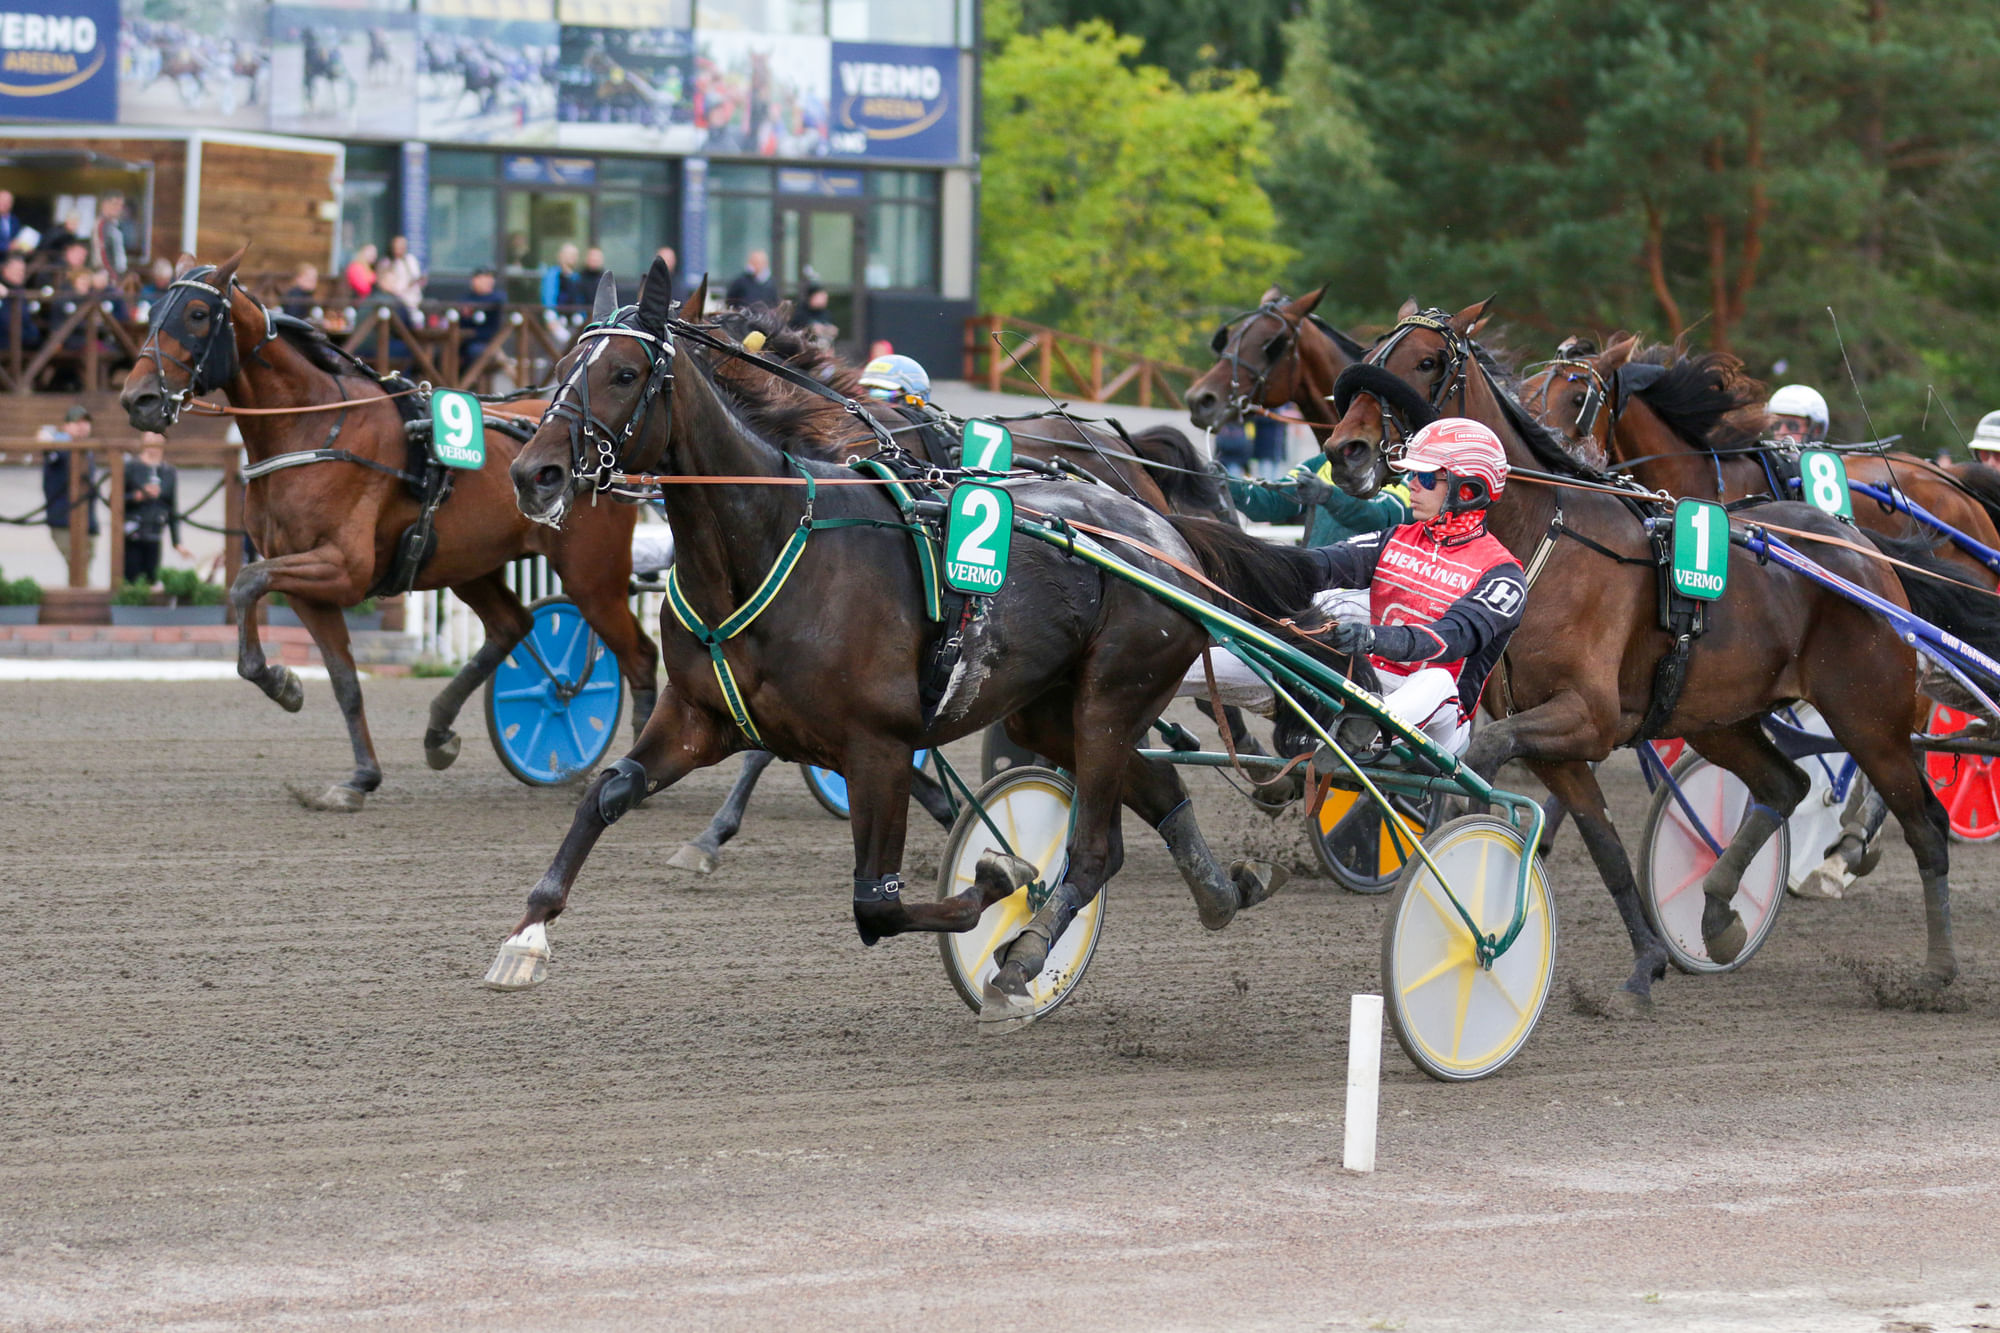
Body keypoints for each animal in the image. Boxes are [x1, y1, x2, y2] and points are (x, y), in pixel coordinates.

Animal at [121, 249, 660, 808]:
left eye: (197, 314)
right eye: (152, 309)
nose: (138, 399)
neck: (313, 428)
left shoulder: (342, 569)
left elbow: (247, 582)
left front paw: (284, 684)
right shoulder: (309, 586)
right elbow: (343, 681)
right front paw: (357, 773)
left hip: (591, 576)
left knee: (640, 657)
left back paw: (628, 772)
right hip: (469, 564)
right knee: (513, 626)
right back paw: (439, 731)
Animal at [492, 262, 1304, 1024]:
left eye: (625, 373)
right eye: (564, 366)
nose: (534, 472)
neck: (770, 537)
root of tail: (1163, 529)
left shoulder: (877, 744)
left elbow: (876, 904)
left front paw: (998, 876)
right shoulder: (698, 717)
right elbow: (607, 792)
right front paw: (527, 935)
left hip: (1112, 695)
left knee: (1092, 850)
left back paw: (1024, 956)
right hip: (1050, 709)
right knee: (1158, 793)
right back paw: (1223, 891)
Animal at [1312, 298, 2000, 1008]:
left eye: (1425, 361)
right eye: (1374, 350)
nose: (1345, 451)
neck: (1543, 536)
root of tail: (1867, 553)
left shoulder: (1585, 717)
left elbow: (1483, 756)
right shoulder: (1557, 740)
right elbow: (1607, 849)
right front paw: (1647, 964)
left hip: (1868, 715)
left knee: (1924, 822)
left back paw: (1931, 966)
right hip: (1719, 717)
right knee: (1785, 783)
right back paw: (1719, 917)